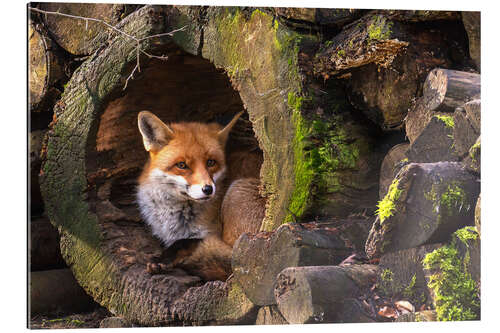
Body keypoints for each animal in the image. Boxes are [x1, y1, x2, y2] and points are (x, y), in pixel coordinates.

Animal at [135, 111, 264, 280]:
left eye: (211, 162)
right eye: (181, 165)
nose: (208, 189)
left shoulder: (208, 234)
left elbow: (183, 242)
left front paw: (162, 259)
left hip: (237, 192)